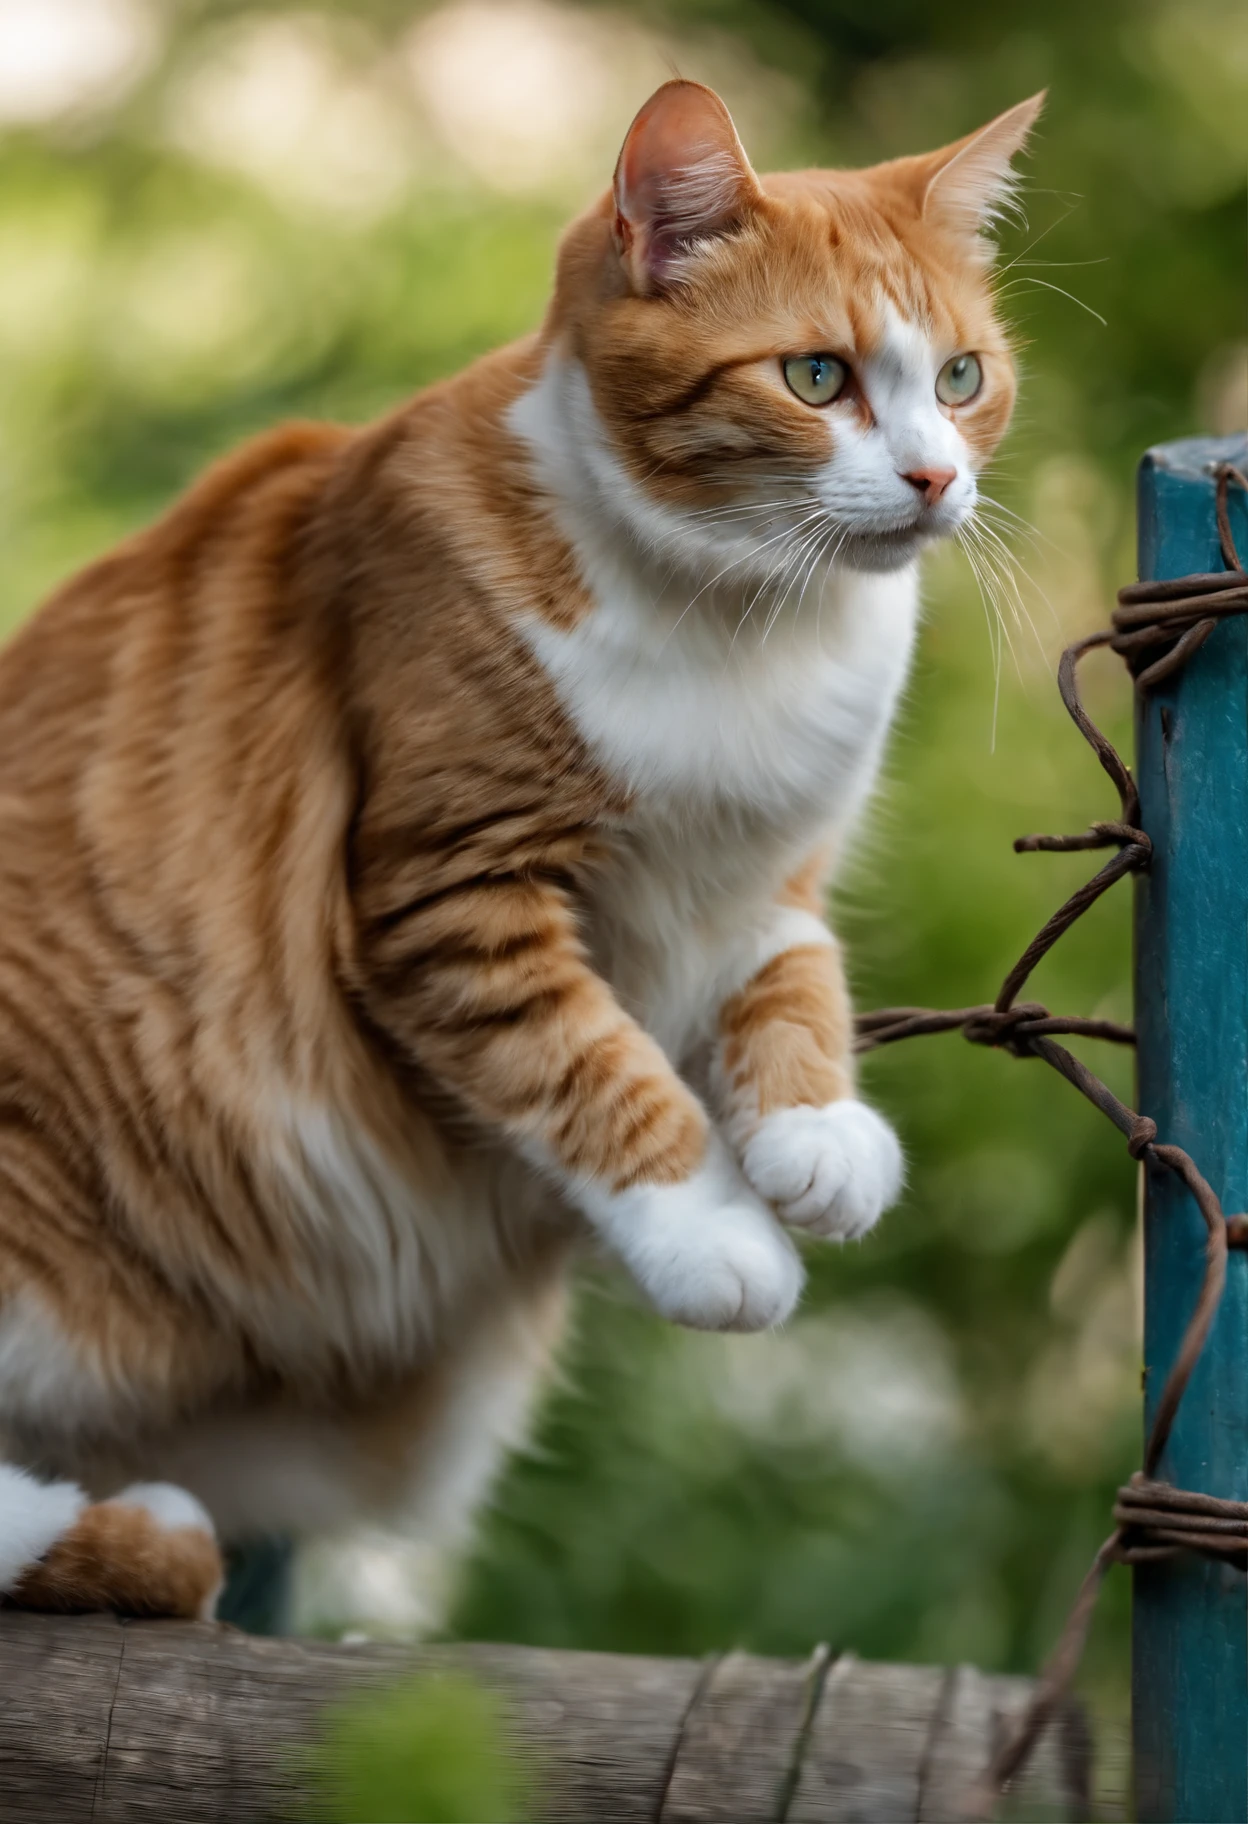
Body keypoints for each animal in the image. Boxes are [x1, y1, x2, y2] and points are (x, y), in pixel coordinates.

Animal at [0, 78, 1036, 1619]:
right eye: (815, 379)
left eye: (962, 379)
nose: (931, 478)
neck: (747, 624)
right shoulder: (449, 897)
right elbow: (599, 1076)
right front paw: (715, 1234)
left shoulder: (766, 878)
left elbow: (795, 983)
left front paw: (813, 1137)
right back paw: (127, 1535)